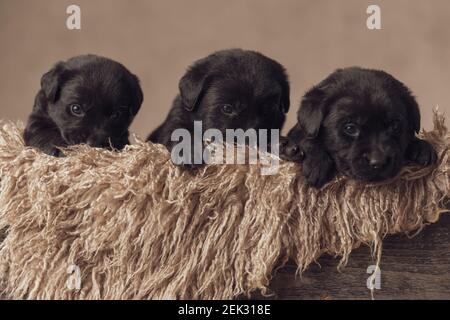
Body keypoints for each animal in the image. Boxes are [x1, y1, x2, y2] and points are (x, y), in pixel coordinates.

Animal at [148, 49, 288, 162]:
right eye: (227, 108)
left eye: (267, 111)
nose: (247, 144)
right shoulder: (177, 118)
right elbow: (179, 132)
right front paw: (189, 152)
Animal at [282, 67, 436, 188]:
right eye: (350, 128)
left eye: (394, 125)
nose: (379, 162)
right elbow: (308, 139)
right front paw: (317, 164)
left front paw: (421, 148)